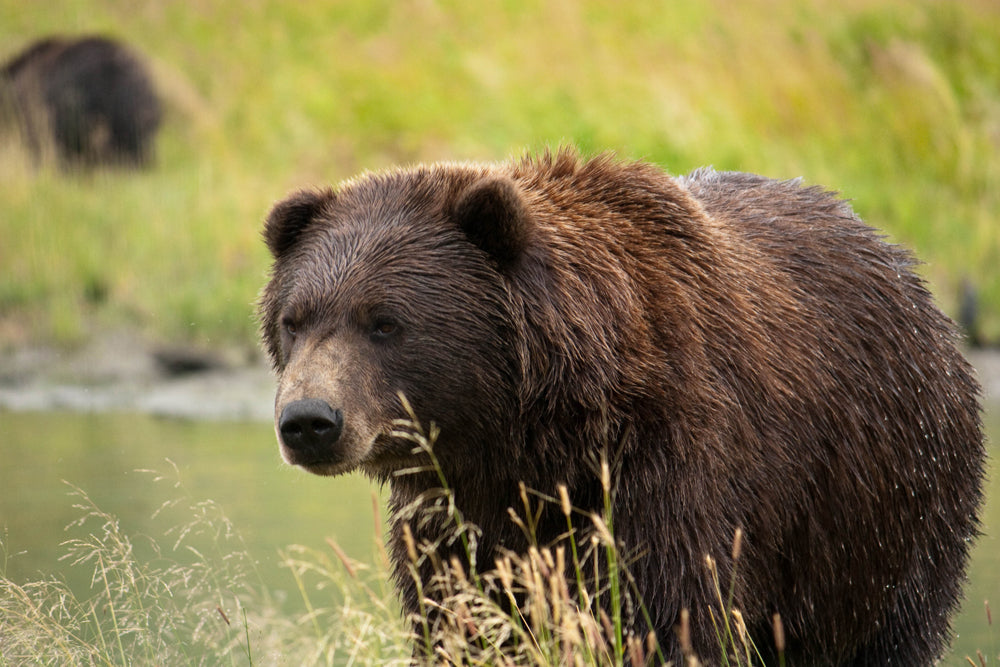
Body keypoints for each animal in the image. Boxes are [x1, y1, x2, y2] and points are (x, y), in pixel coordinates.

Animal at [258, 151, 984, 667]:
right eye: (295, 319)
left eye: (384, 322)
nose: (309, 421)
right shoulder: (454, 515)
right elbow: (463, 620)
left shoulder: (667, 469)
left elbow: (666, 617)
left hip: (880, 507)